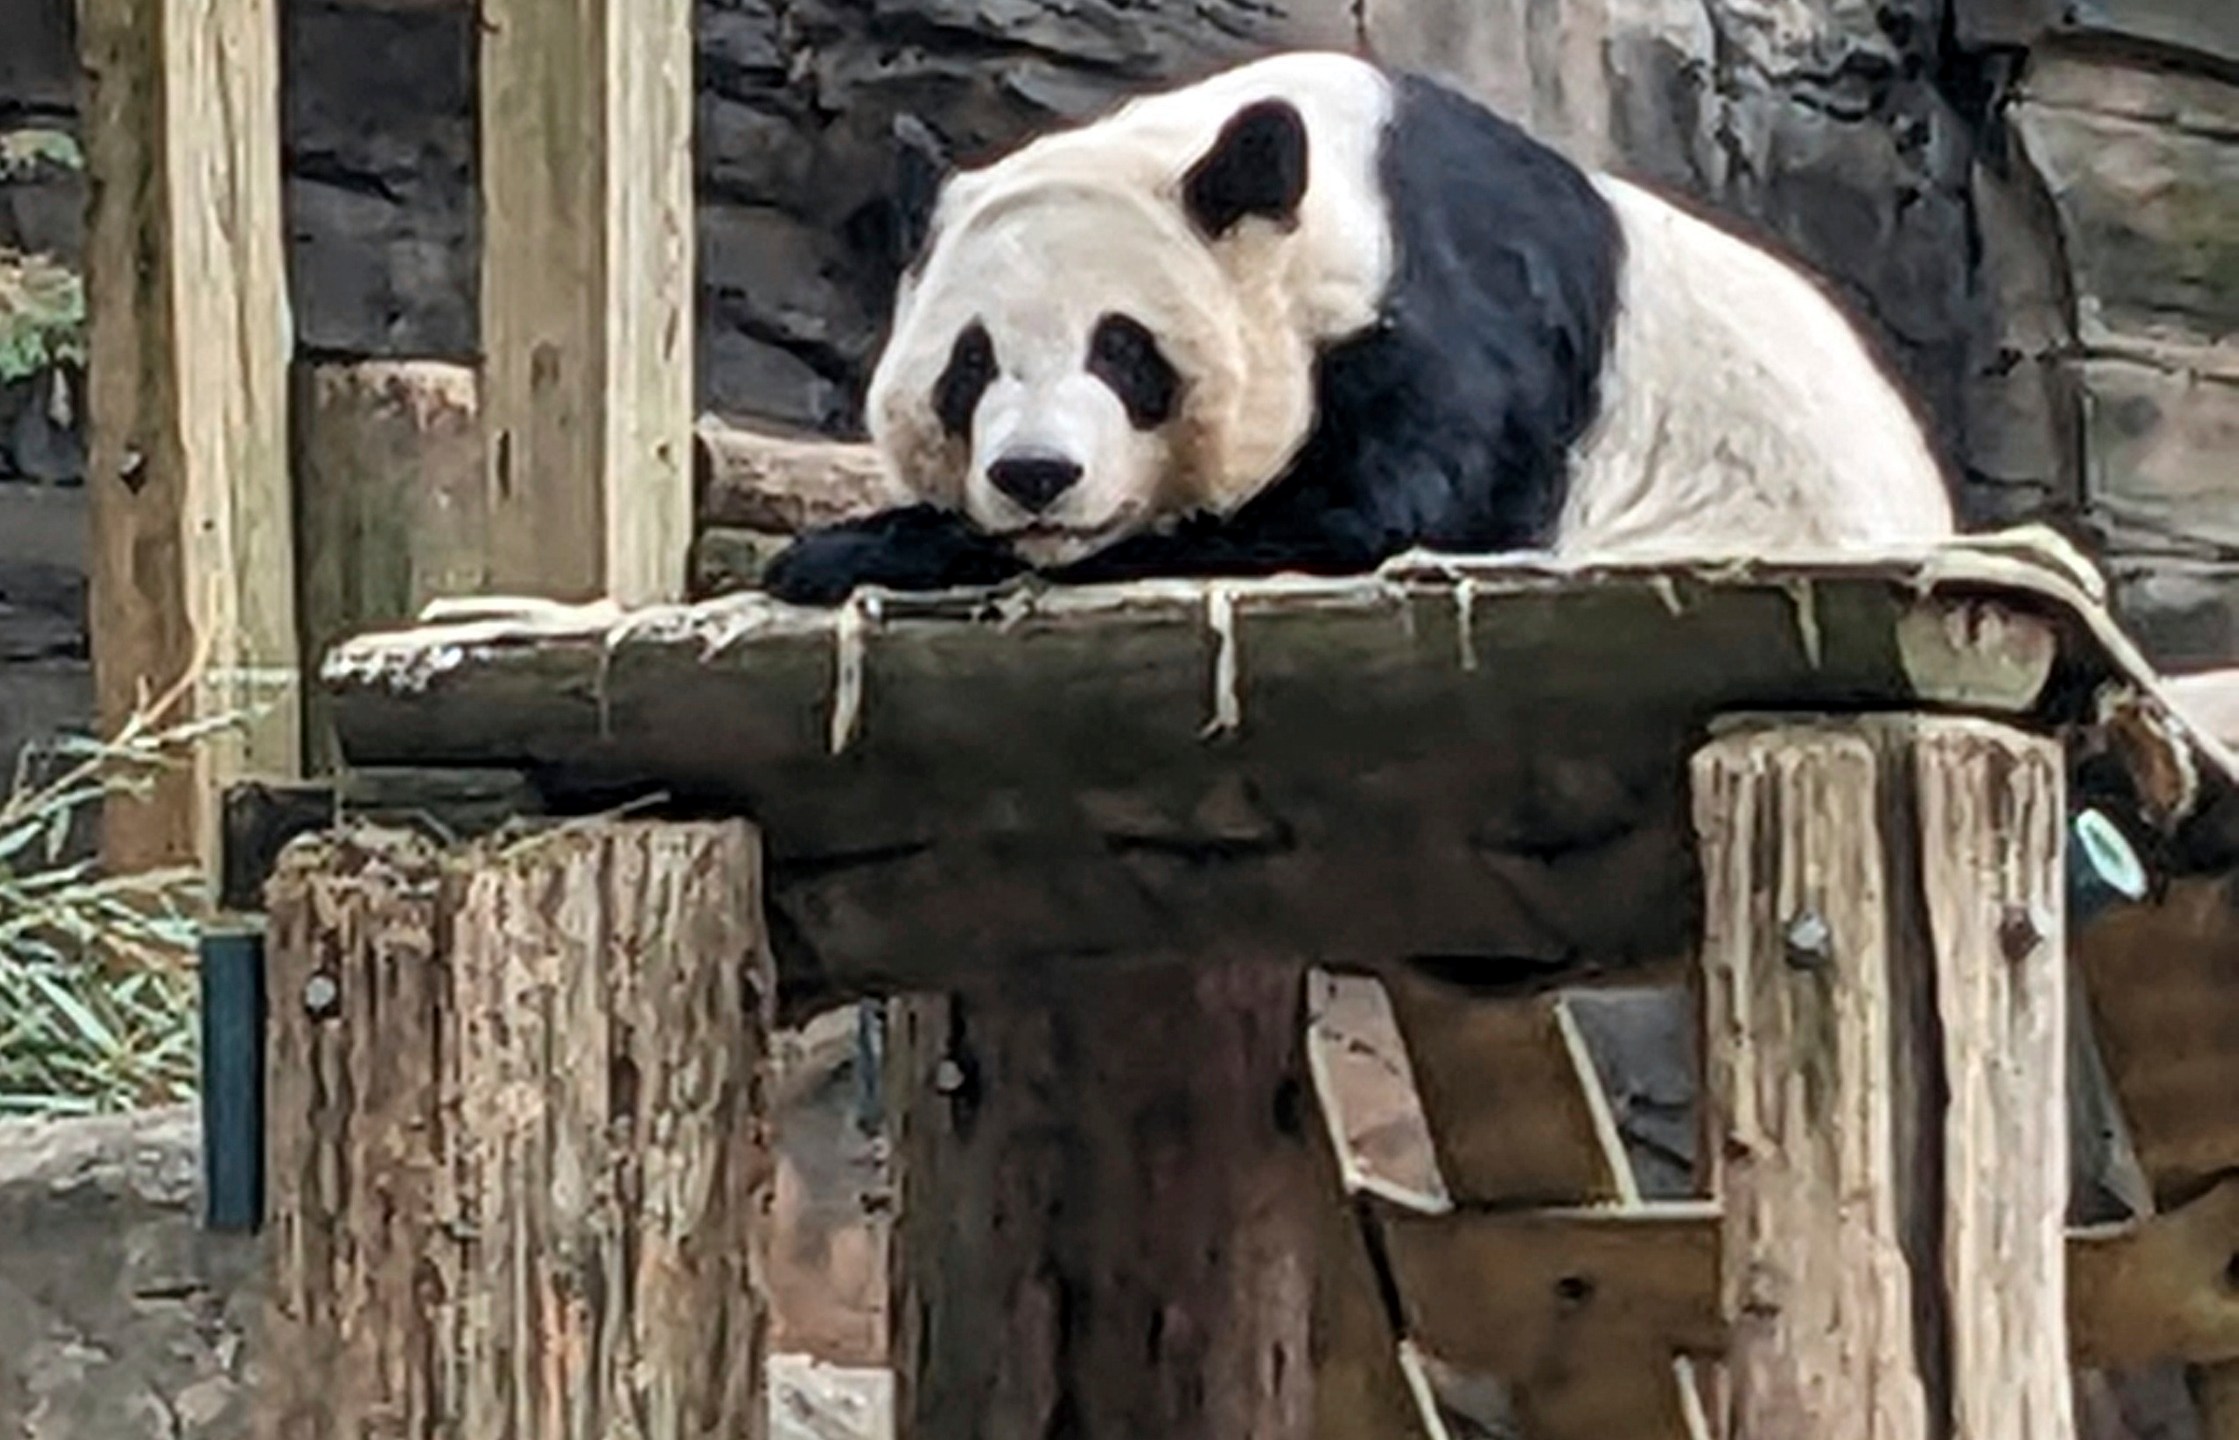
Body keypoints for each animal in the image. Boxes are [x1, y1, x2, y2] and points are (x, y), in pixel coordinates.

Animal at [761, 52, 1952, 609]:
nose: (1036, 476)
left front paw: (848, 549)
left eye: (1124, 351)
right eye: (969, 366)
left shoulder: (1457, 320)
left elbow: (1360, 518)